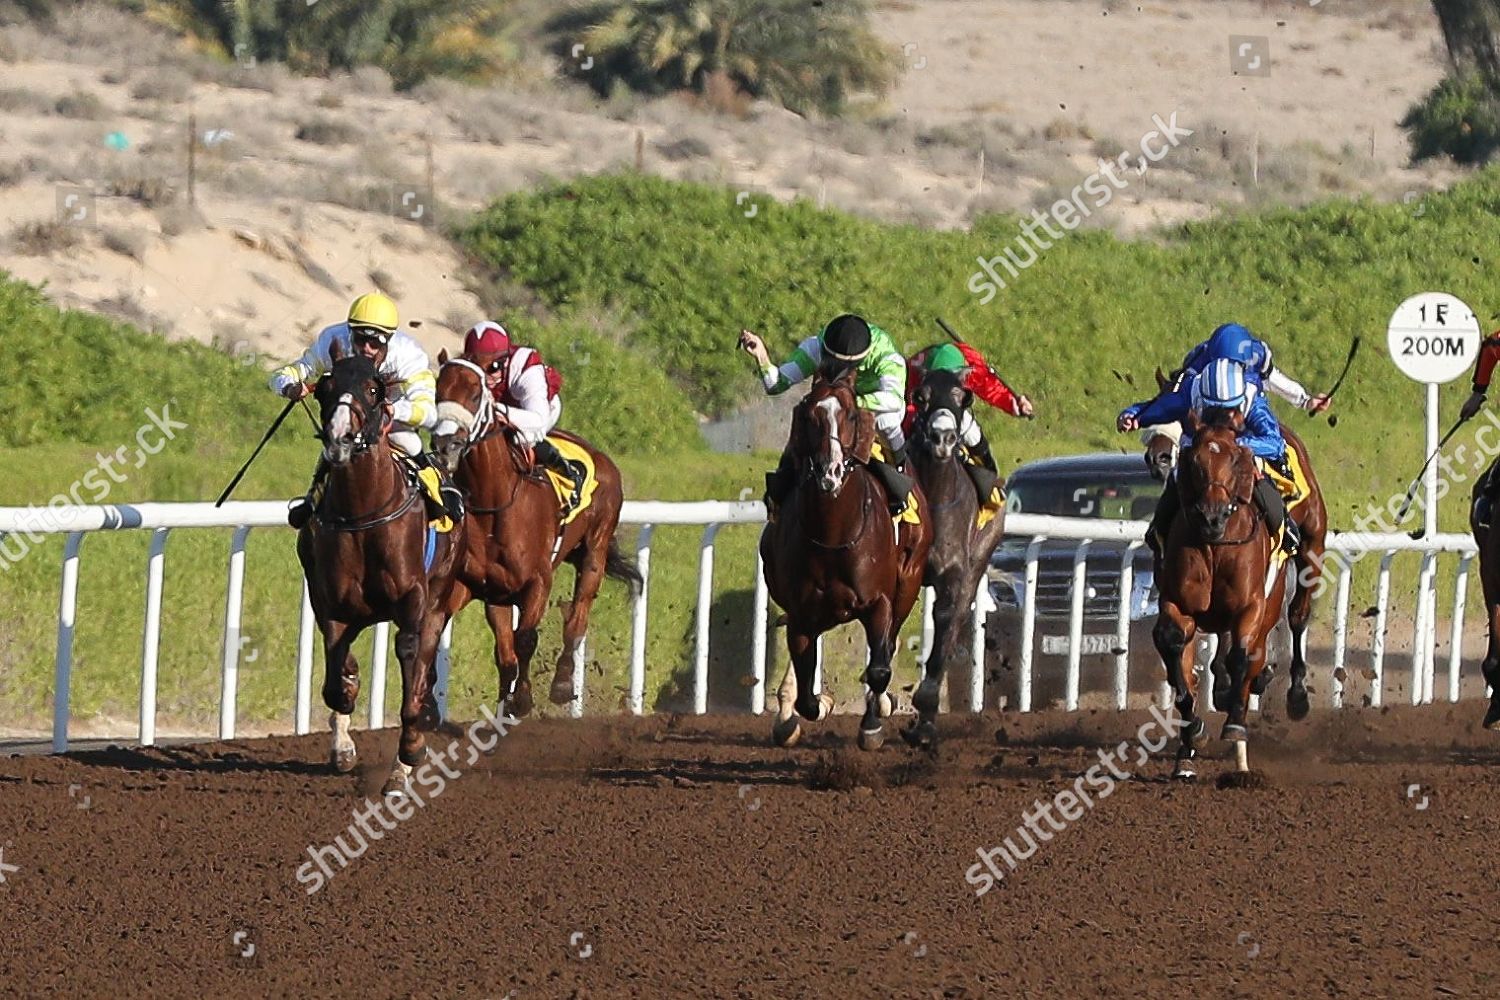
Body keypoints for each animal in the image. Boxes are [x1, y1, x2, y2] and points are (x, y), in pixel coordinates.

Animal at [295, 352, 465, 797]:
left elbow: (410, 666)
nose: (339, 440)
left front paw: (410, 754)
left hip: (438, 603)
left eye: (374, 389)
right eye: (325, 387)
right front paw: (344, 736)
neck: (363, 515)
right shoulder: (332, 605)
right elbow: (335, 681)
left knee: (420, 667)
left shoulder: (413, 602)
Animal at [429, 355, 639, 716]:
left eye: (475, 395)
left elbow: (525, 639)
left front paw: (524, 698)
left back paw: (563, 682)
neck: (494, 503)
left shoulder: (538, 581)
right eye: (438, 390)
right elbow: (504, 654)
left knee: (576, 620)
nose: (444, 445)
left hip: (594, 552)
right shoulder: (492, 590)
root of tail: (601, 457)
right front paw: (503, 705)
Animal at [768, 367, 930, 749]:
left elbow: (880, 668)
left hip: (908, 584)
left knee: (888, 647)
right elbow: (807, 696)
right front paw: (814, 707)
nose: (830, 473)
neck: (832, 535)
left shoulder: (879, 602)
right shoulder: (801, 614)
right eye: (809, 415)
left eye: (852, 415)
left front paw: (872, 724)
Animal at [900, 364, 1008, 746]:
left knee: (957, 617)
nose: (943, 438)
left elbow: (946, 621)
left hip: (980, 558)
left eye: (964, 397)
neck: (935, 496)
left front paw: (926, 706)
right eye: (921, 396)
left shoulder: (953, 573)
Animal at [1146, 410, 1290, 779]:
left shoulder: (1250, 608)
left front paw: (1235, 726)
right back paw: (1185, 757)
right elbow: (1177, 656)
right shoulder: (1177, 604)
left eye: (1236, 459)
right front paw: (1194, 731)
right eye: (1195, 460)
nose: (1212, 516)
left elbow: (1240, 658)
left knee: (1247, 663)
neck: (1215, 545)